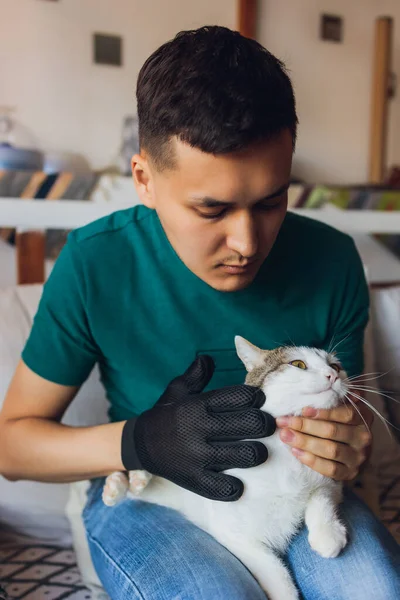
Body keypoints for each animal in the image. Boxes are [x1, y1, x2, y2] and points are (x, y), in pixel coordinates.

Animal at [103, 338, 350, 600]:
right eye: (298, 364)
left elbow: (322, 496)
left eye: (336, 365)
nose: (333, 375)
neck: (284, 456)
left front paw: (327, 534)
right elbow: (274, 571)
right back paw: (129, 479)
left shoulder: (331, 478)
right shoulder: (236, 536)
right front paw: (284, 591)